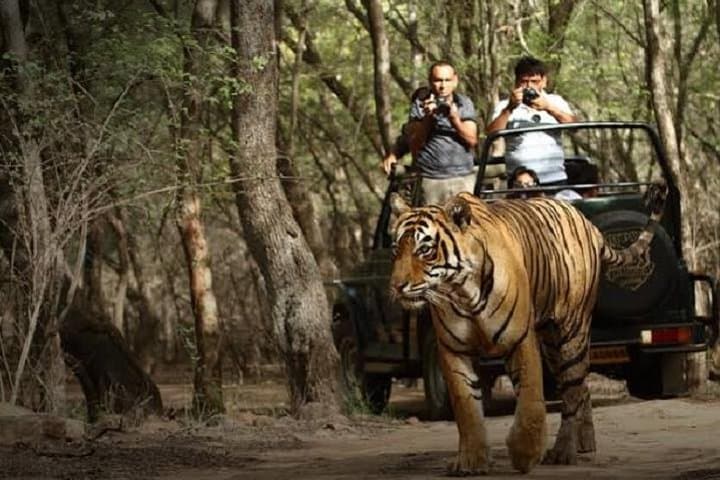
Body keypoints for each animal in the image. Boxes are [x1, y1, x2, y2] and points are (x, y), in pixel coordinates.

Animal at [389, 184, 666, 474]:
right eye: (396, 248)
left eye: (425, 249)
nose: (396, 286)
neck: (462, 292)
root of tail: (588, 223)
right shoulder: (453, 350)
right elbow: (466, 408)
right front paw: (471, 461)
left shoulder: (519, 340)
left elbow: (531, 400)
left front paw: (526, 453)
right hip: (551, 345)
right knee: (580, 387)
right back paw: (585, 441)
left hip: (572, 332)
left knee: (572, 392)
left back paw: (563, 451)